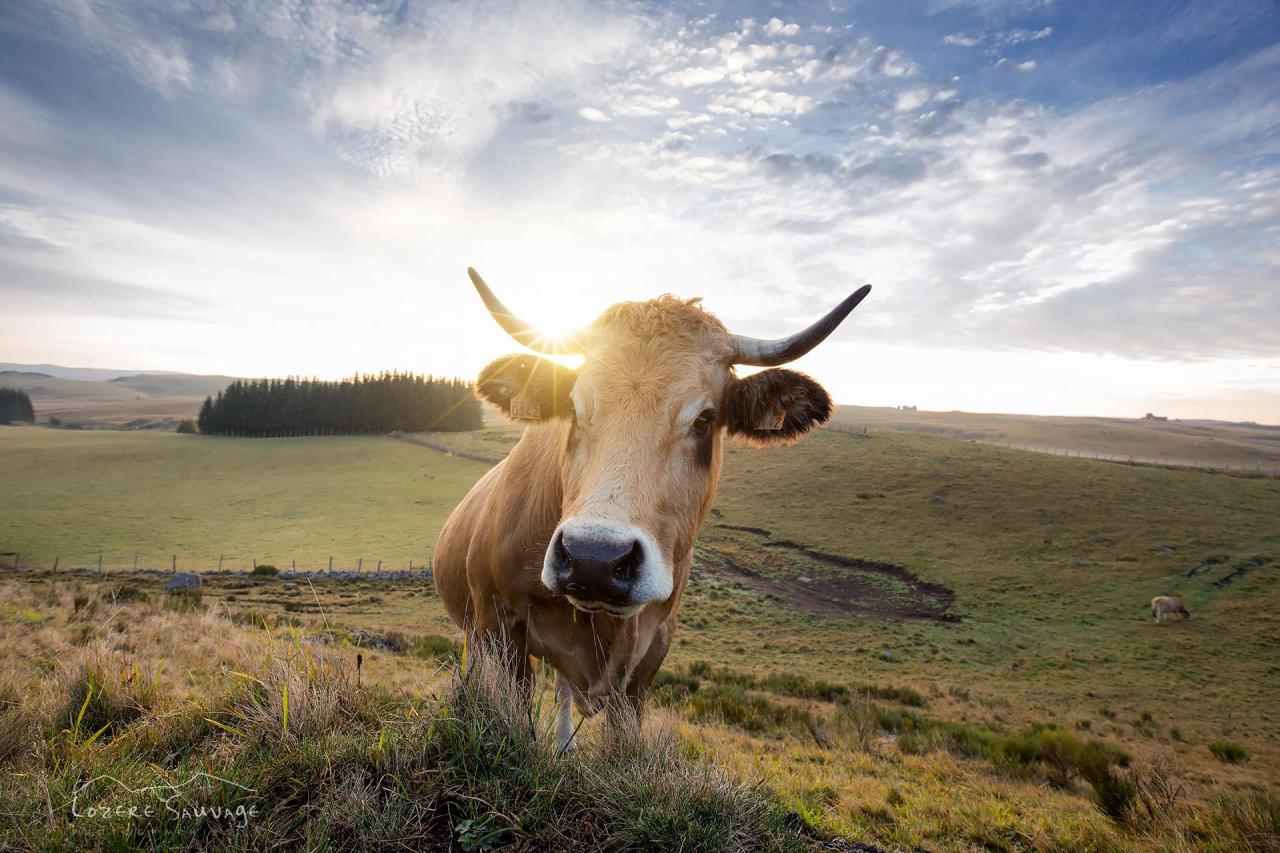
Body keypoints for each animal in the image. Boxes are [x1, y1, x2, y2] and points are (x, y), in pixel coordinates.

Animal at [432, 266, 870, 742]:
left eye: (705, 420)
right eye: (573, 408)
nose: (594, 560)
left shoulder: (651, 652)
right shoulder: (499, 624)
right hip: (473, 630)